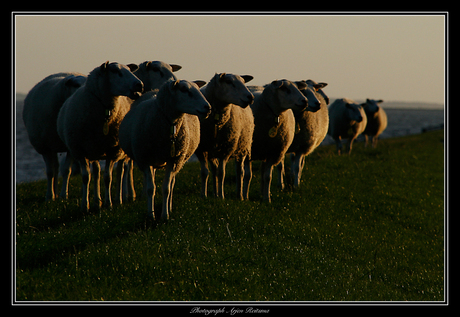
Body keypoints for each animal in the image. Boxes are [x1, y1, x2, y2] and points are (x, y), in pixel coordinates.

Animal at [22, 72, 87, 200]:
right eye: (75, 85)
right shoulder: (45, 147)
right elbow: (50, 172)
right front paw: (49, 196)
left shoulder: (70, 147)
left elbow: (66, 170)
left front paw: (64, 195)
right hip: (53, 145)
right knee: (55, 168)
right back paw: (54, 193)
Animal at [57, 61, 144, 210]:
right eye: (117, 72)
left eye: (129, 70)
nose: (140, 85)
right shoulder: (80, 151)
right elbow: (86, 177)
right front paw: (85, 205)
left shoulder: (112, 150)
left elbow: (108, 177)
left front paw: (109, 203)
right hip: (94, 150)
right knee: (97, 171)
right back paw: (97, 201)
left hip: (120, 151)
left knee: (121, 171)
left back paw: (119, 198)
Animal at [118, 79, 212, 220]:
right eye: (184, 90)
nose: (208, 108)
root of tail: (155, 90)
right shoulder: (145, 159)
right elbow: (151, 189)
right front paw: (151, 215)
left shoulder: (174, 159)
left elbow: (166, 188)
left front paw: (165, 215)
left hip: (178, 161)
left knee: (172, 184)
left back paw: (170, 206)